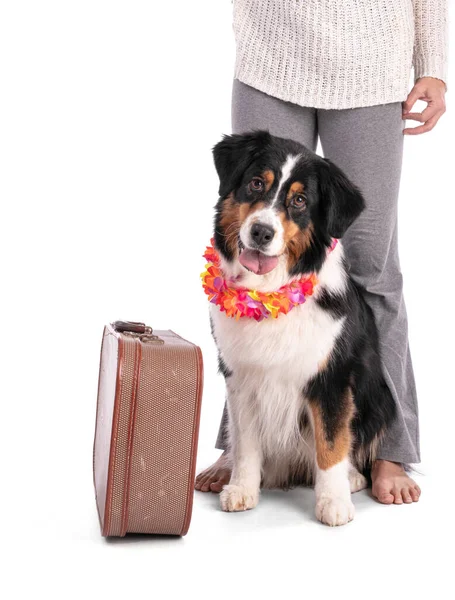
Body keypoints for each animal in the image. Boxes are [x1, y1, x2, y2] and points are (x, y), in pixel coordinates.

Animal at [208, 130, 398, 524]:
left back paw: (354, 478)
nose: (261, 232)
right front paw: (242, 489)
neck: (268, 291)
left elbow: (331, 442)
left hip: (380, 397)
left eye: (299, 200)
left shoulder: (332, 378)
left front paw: (334, 501)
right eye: (256, 183)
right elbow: (246, 441)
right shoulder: (241, 376)